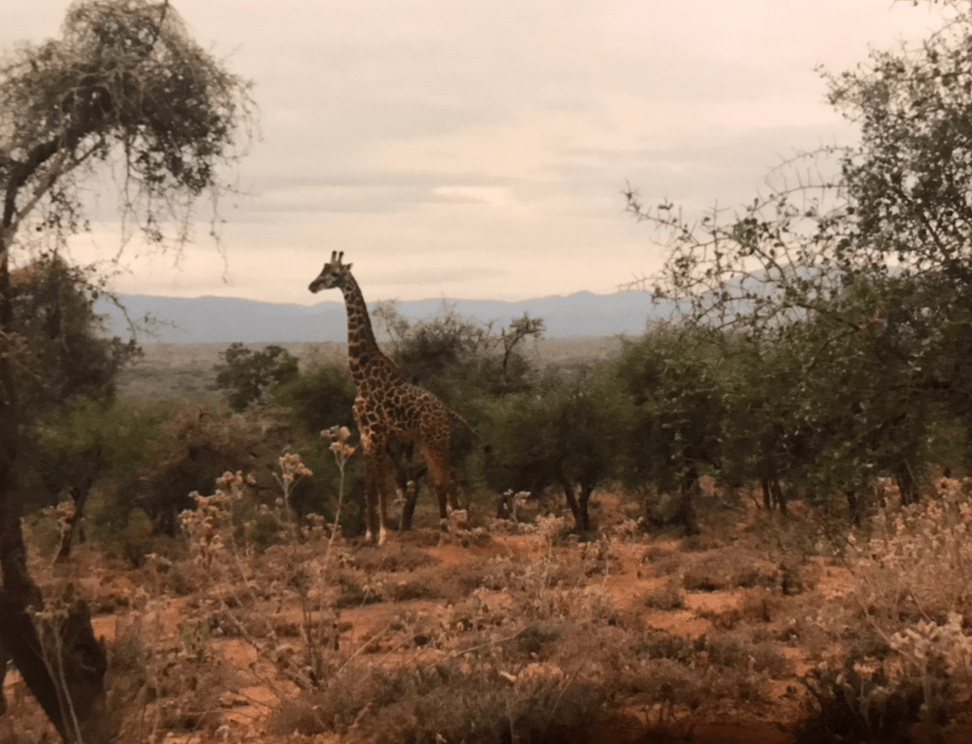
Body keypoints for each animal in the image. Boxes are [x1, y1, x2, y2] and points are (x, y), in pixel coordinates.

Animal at [309, 251, 462, 545]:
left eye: (334, 274)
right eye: (320, 270)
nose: (312, 286)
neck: (362, 376)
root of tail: (449, 412)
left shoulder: (378, 433)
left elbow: (381, 483)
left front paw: (383, 534)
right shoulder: (365, 433)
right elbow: (369, 482)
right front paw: (369, 534)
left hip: (437, 440)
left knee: (449, 477)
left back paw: (456, 529)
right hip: (425, 442)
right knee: (442, 479)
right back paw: (445, 529)